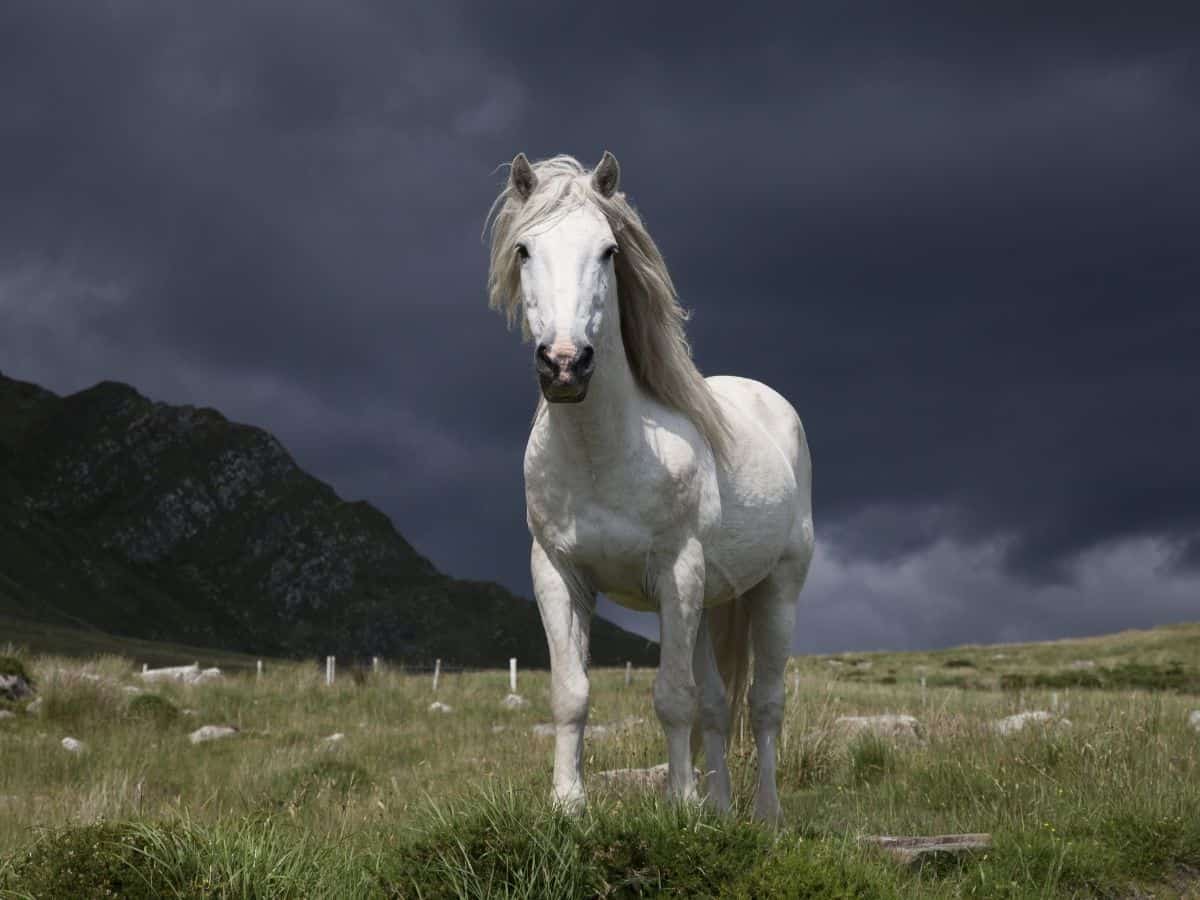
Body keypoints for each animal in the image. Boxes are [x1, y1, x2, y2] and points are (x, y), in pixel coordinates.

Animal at [485, 152, 814, 822]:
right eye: (525, 249)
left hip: (776, 589)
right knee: (718, 705)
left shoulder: (676, 572)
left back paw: (765, 816)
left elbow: (672, 697)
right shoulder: (557, 573)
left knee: (765, 705)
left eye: (609, 250)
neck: (603, 454)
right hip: (712, 602)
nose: (564, 364)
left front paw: (680, 808)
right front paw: (568, 806)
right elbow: (571, 693)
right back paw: (722, 810)